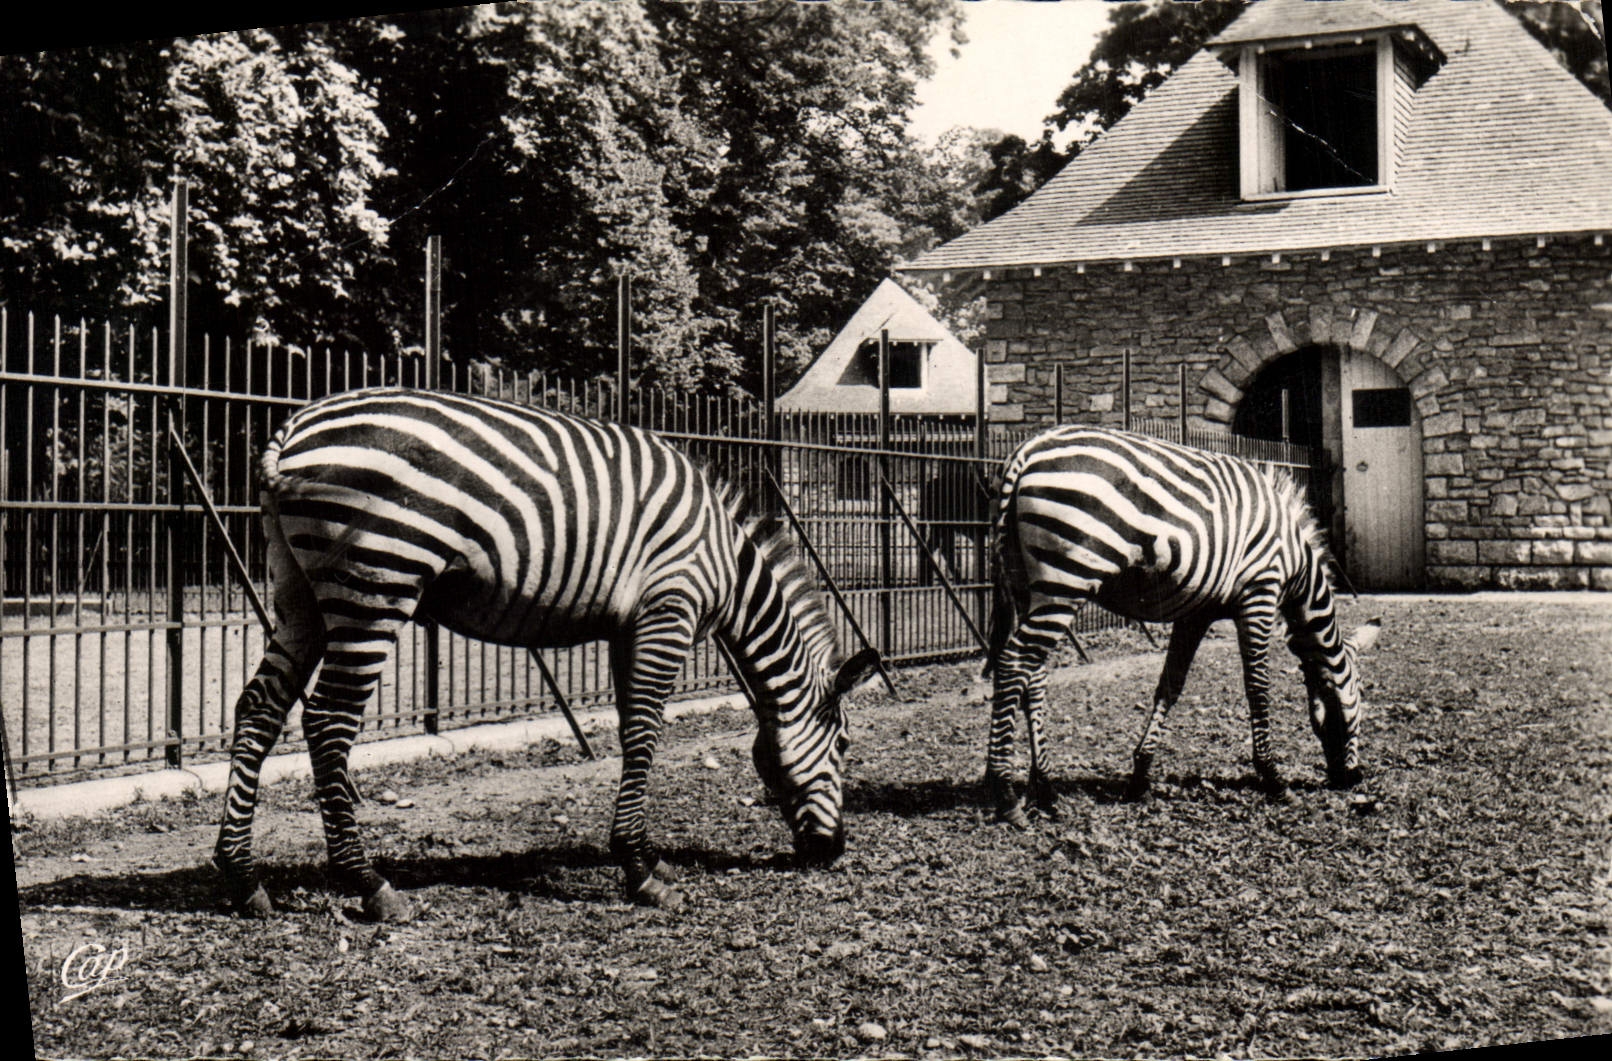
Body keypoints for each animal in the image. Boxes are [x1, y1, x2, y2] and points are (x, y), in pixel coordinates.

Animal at [212, 387, 881, 920]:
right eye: (845, 744)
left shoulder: (628, 627)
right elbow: (645, 733)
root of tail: (295, 427)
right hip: (376, 582)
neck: (728, 563)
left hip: (301, 592)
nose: (834, 851)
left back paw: (243, 878)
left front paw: (646, 858)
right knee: (328, 722)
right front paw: (641, 872)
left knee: (258, 709)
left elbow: (629, 728)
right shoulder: (666, 611)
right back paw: (368, 883)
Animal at [982, 425, 1381, 824]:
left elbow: (1170, 685)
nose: (1354, 778)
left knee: (1032, 674)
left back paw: (1045, 791)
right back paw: (1006, 795)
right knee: (1015, 662)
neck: (1297, 564)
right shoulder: (1259, 593)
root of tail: (1029, 448)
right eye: (1360, 692)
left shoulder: (1196, 613)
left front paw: (1140, 775)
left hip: (1028, 585)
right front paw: (1272, 777)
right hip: (1067, 578)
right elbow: (1257, 687)